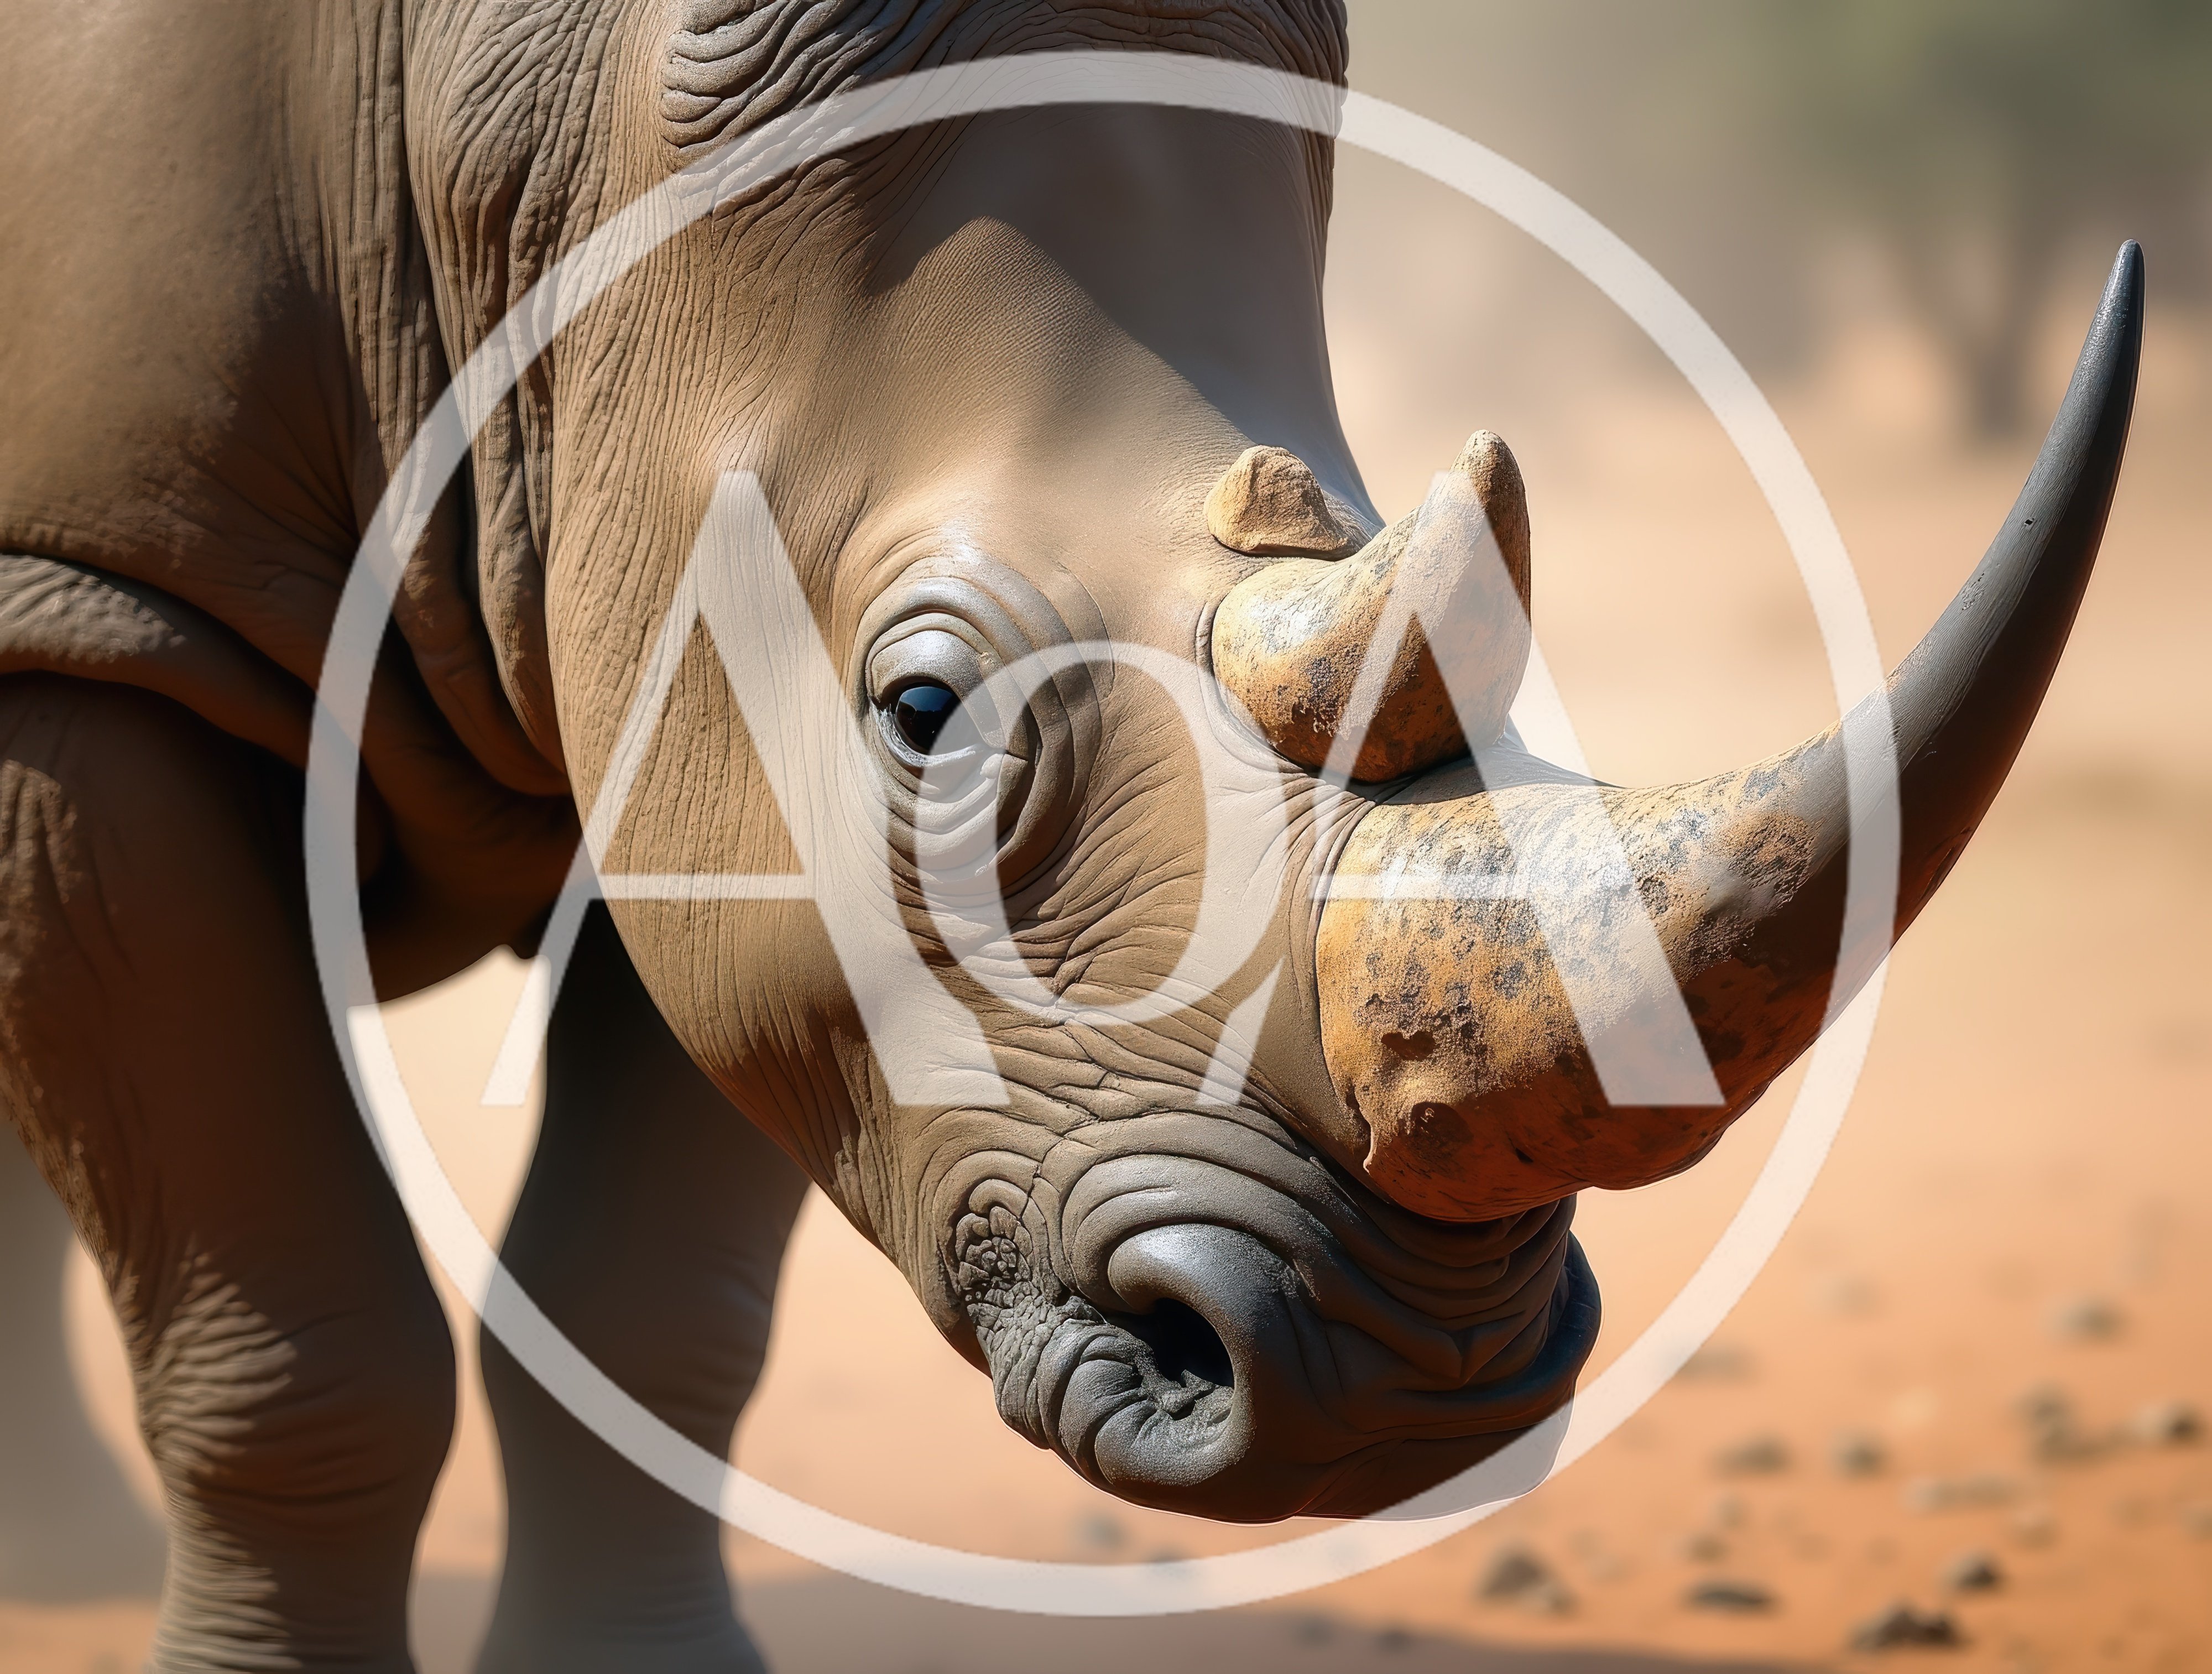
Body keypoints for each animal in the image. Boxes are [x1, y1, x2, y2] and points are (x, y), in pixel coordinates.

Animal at [0, 0, 2140, 1668]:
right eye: (924, 717)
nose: (1399, 1392)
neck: (512, 154)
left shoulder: (689, 744)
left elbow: (650, 1307)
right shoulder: (84, 610)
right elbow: (300, 1347)